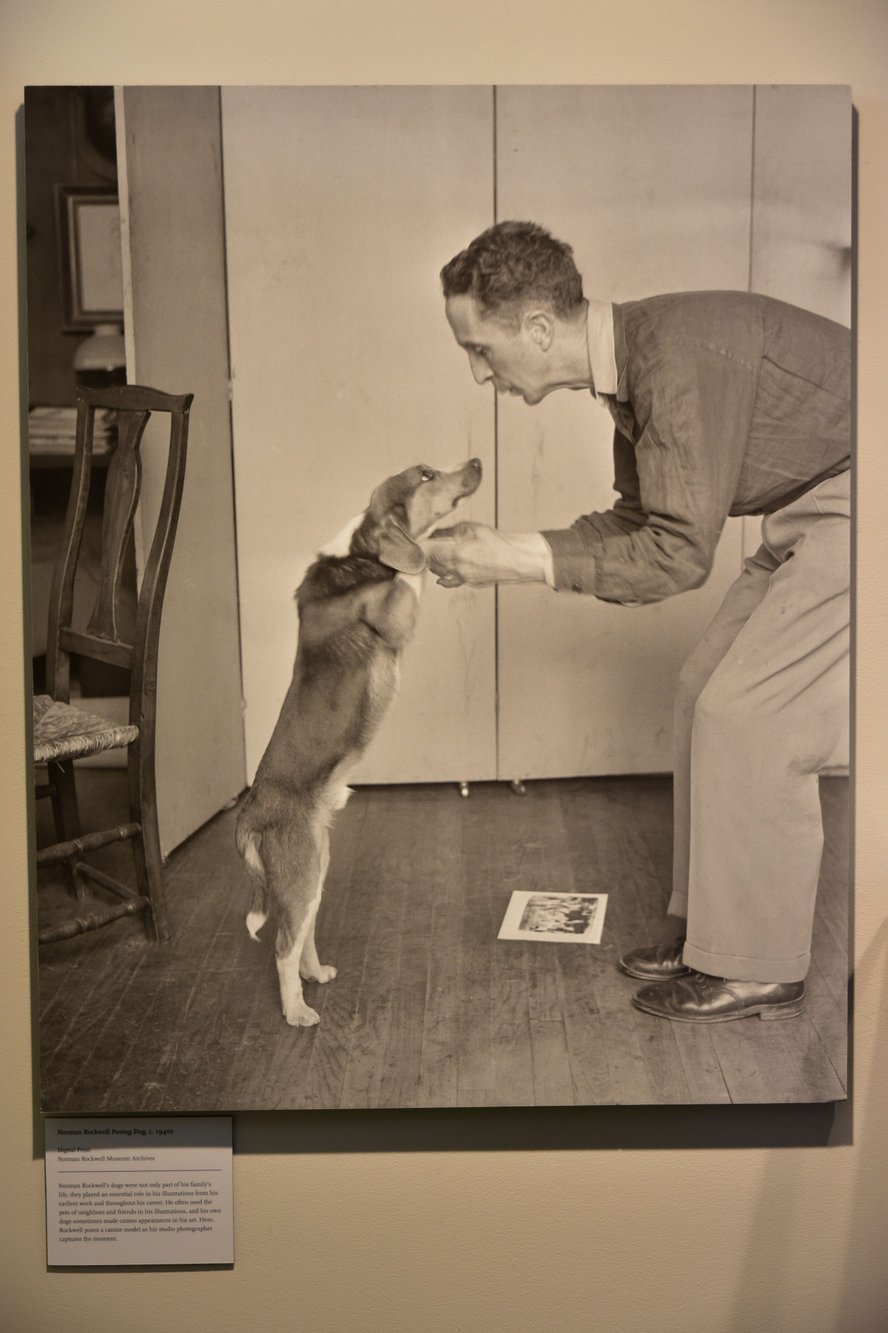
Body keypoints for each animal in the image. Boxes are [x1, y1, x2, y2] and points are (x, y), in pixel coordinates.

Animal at [235, 457, 483, 1026]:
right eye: (426, 474)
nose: (478, 462)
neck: (360, 553)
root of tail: (250, 813)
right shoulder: (397, 616)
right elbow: (413, 570)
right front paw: (430, 551)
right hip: (302, 872)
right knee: (282, 947)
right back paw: (297, 1011)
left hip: (313, 870)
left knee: (300, 934)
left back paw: (314, 976)